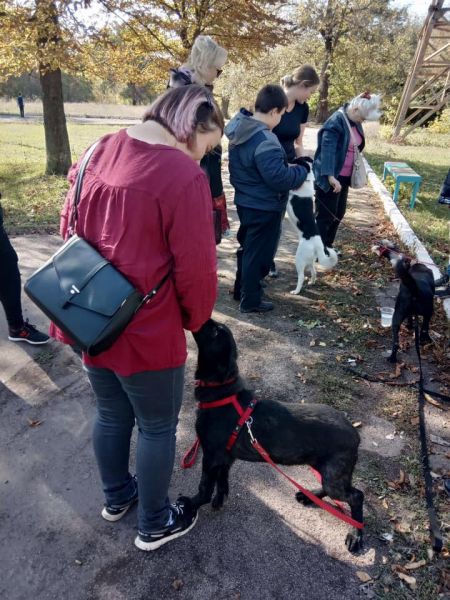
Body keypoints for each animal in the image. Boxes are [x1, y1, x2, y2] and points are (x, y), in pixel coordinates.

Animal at [192, 318, 364, 552]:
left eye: (216, 331)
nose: (202, 318)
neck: (224, 394)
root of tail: (355, 433)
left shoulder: (211, 456)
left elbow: (204, 487)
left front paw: (190, 504)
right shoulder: (225, 457)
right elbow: (222, 481)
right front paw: (219, 500)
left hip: (334, 475)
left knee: (356, 496)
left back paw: (356, 534)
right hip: (327, 469)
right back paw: (311, 496)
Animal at [288, 162, 338, 296]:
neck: (307, 180)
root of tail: (319, 245)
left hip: (299, 259)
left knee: (301, 276)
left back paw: (296, 291)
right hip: (309, 260)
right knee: (314, 271)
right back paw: (312, 282)